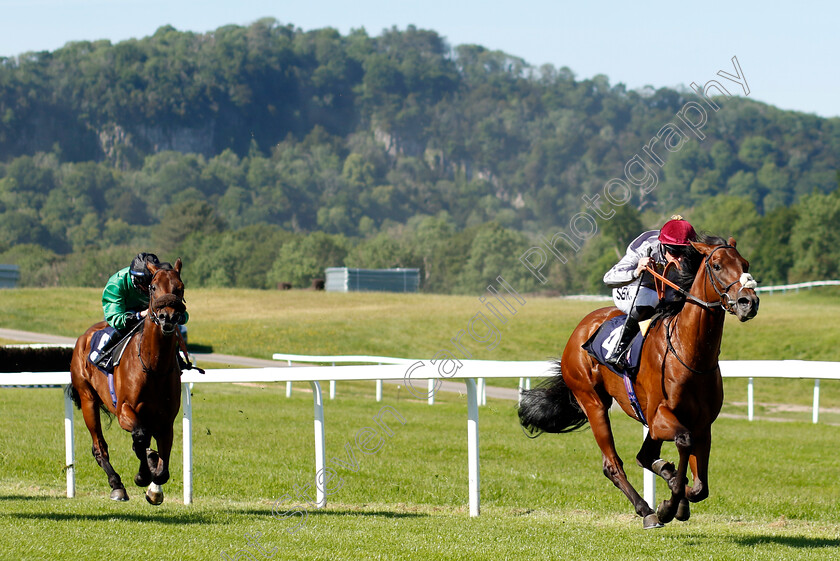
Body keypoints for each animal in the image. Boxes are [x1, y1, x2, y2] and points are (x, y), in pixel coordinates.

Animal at [68, 258, 187, 504]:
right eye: (153, 287)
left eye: (180, 288)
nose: (168, 317)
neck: (154, 367)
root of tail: (84, 337)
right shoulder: (124, 410)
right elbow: (140, 437)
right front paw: (142, 475)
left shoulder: (166, 420)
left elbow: (162, 468)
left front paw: (154, 487)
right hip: (88, 399)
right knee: (99, 446)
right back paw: (117, 485)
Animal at [520, 234, 760, 528]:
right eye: (716, 265)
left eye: (745, 264)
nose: (749, 302)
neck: (690, 354)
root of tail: (582, 328)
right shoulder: (659, 417)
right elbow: (684, 442)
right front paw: (669, 506)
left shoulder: (702, 425)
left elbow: (700, 487)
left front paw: (678, 496)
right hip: (593, 402)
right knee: (613, 464)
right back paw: (647, 510)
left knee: (645, 456)